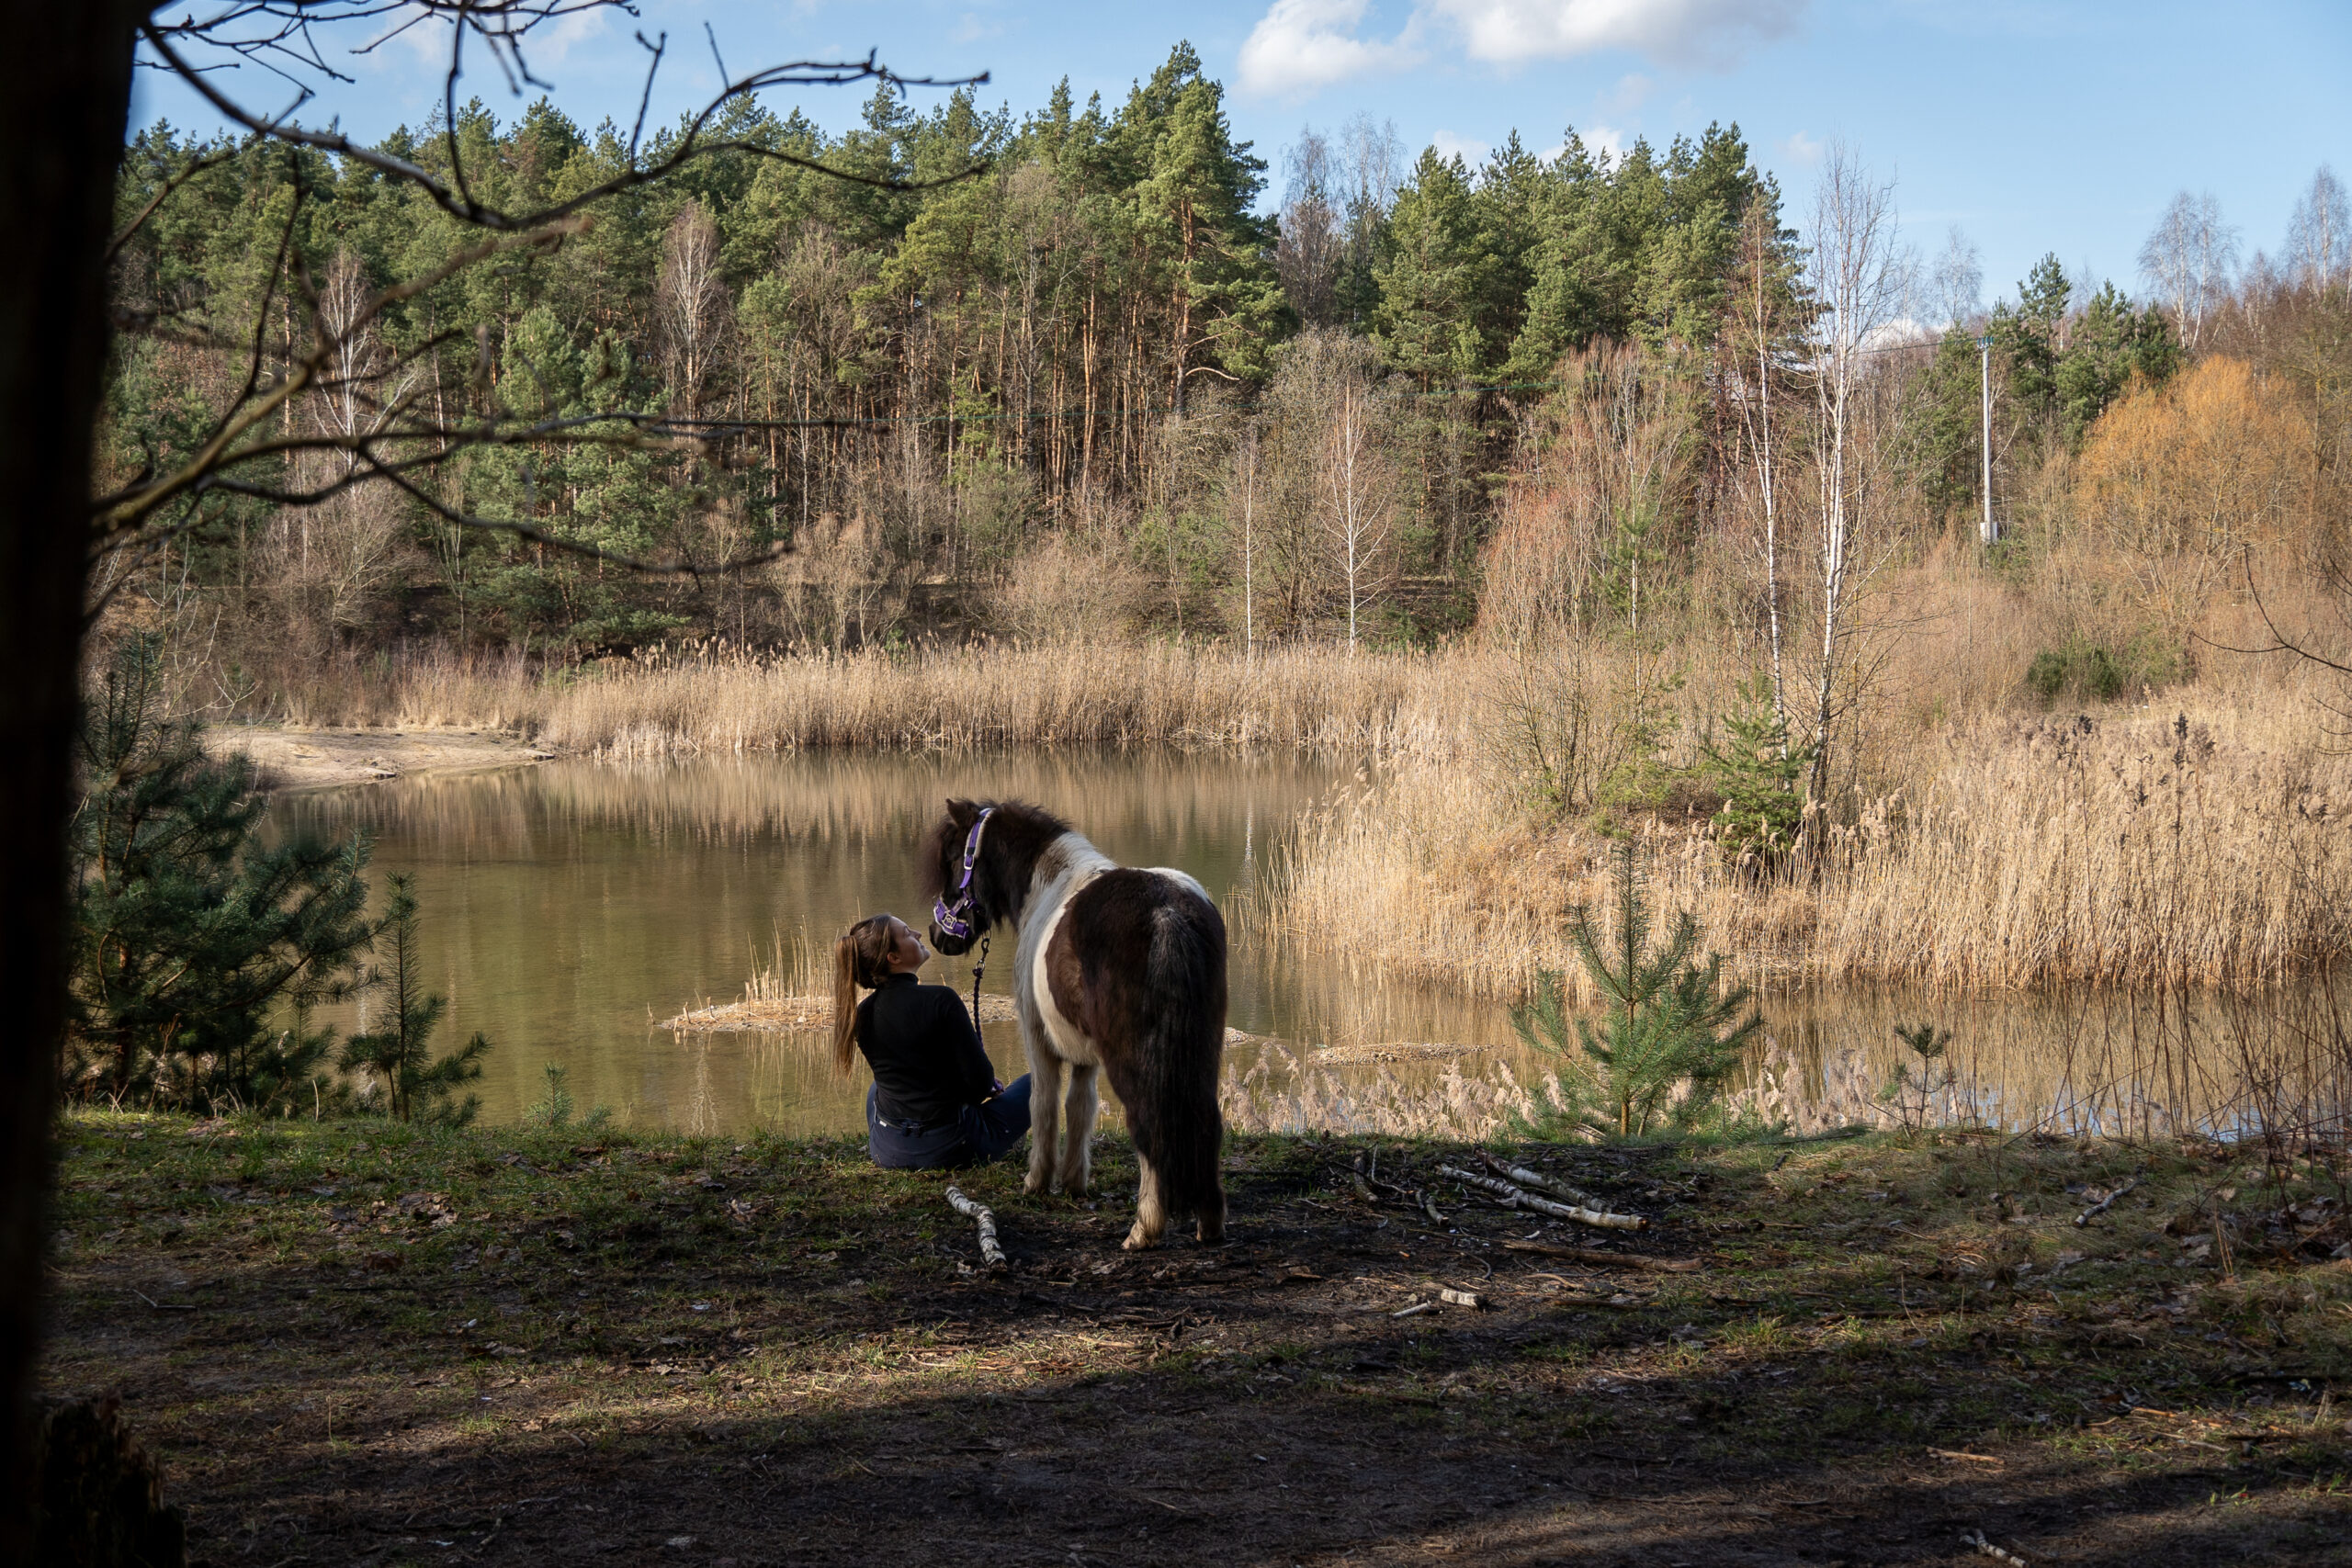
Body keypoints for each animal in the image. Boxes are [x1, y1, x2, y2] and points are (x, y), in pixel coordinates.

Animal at [912, 799, 1232, 1250]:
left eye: (957, 858)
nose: (939, 936)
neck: (1048, 888)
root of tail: (1165, 913)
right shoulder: (1085, 1058)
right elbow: (1081, 1108)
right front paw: (1073, 1183)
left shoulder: (1037, 1039)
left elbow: (1043, 1105)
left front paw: (1037, 1182)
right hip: (1202, 1050)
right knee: (1203, 1123)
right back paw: (1209, 1223)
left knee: (1149, 1126)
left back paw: (1143, 1229)